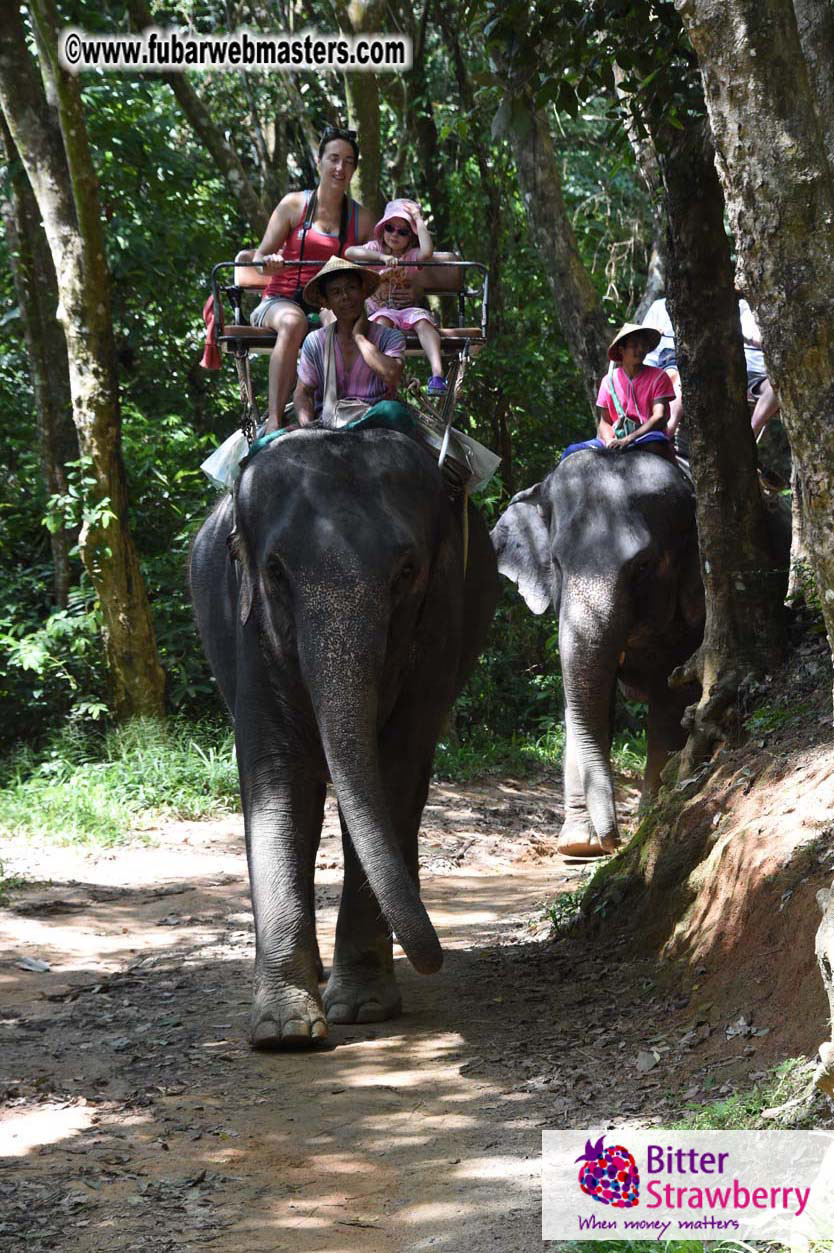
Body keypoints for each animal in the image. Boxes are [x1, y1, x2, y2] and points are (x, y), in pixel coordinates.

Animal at [189, 427, 498, 1047]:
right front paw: (285, 1030)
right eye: (276, 571)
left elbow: (397, 765)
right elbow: (277, 775)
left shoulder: (440, 624)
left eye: (406, 572)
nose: (435, 957)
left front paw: (362, 1009)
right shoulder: (249, 630)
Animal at [492, 449, 704, 859]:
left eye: (643, 565)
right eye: (556, 563)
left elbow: (671, 699)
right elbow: (584, 702)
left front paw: (649, 818)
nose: (614, 842)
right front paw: (579, 844)